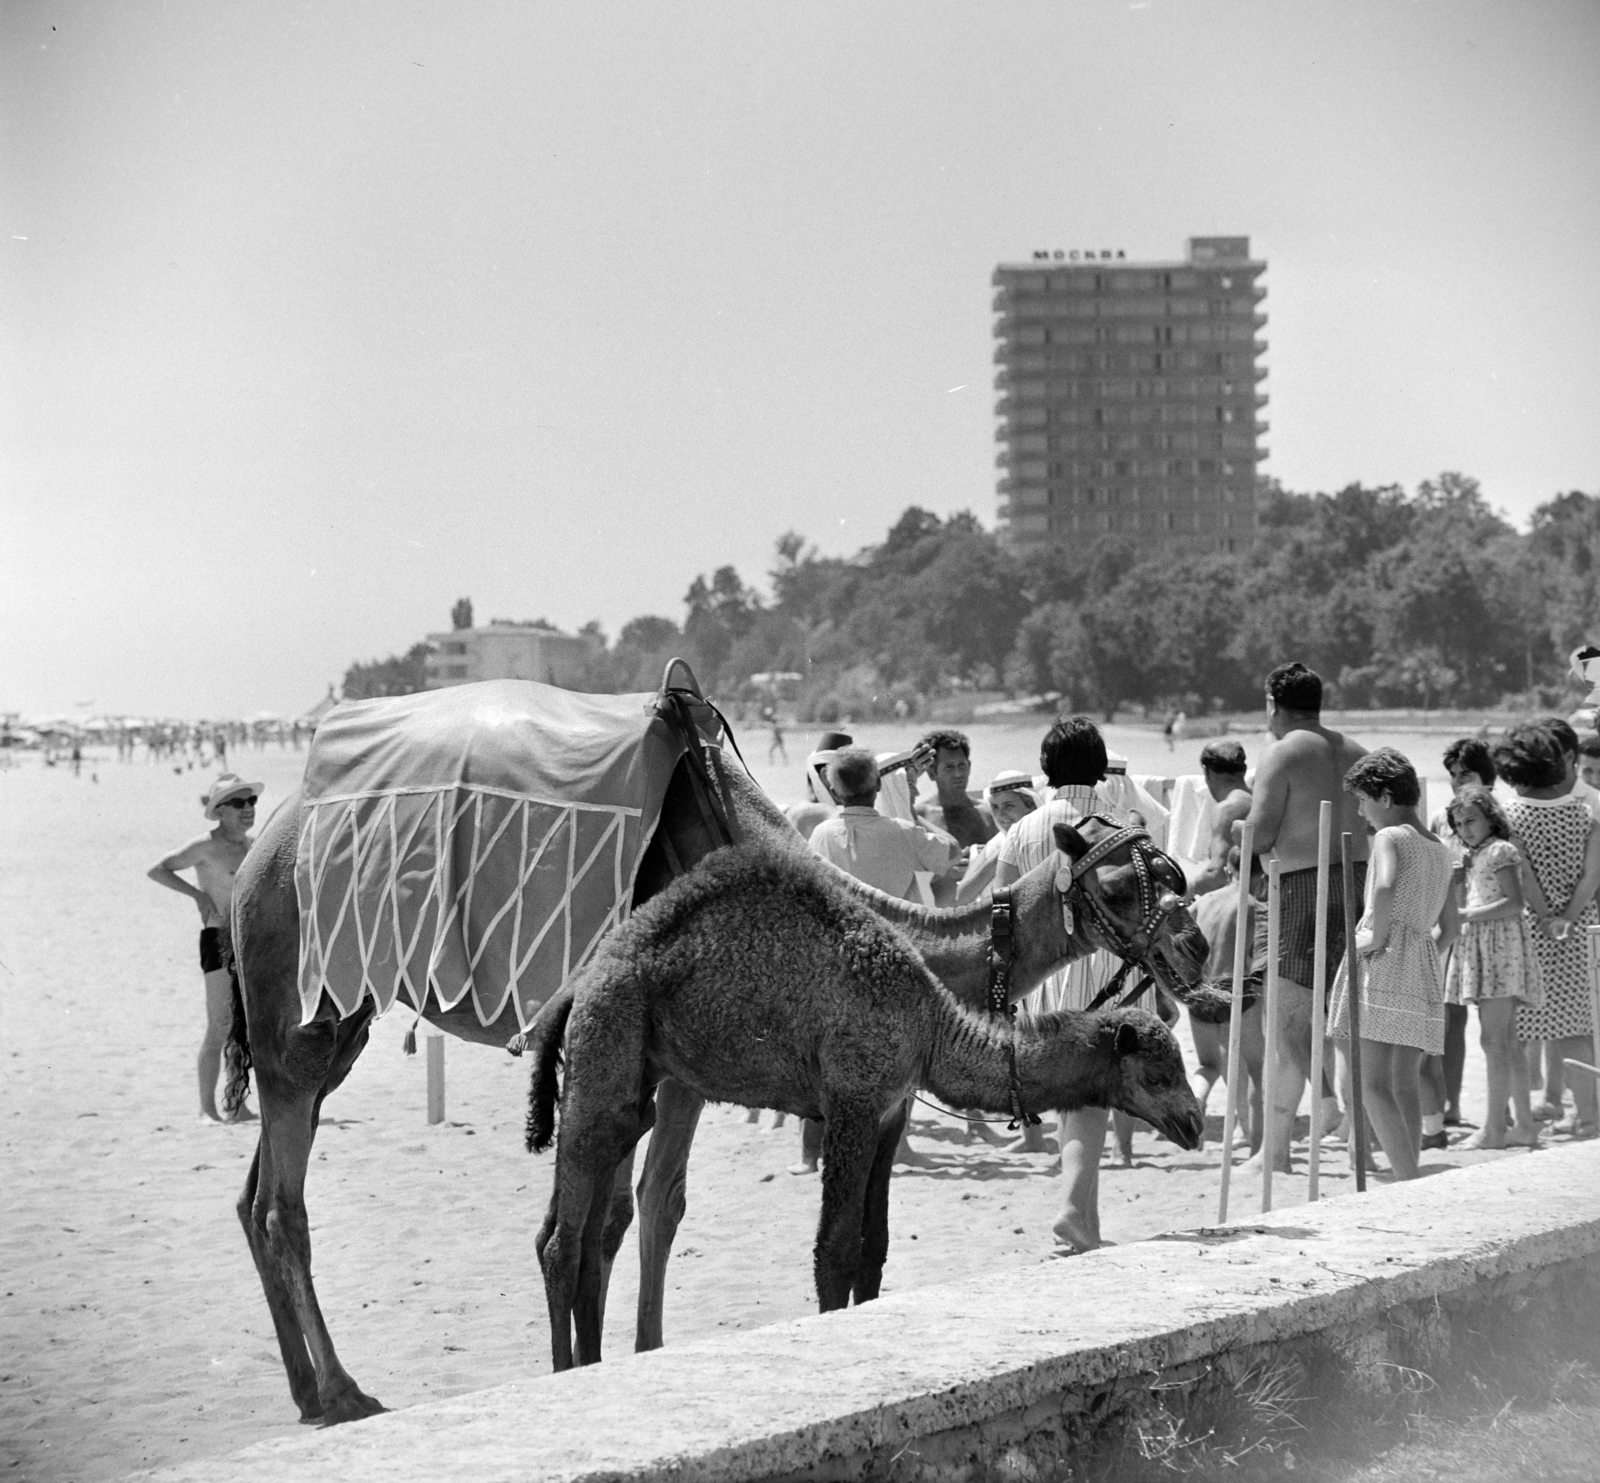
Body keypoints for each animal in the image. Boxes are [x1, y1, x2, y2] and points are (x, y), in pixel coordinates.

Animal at [524, 831, 1203, 1369]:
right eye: (1159, 1074)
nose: (1194, 1122)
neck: (930, 1018)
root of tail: (581, 982)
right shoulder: (851, 1102)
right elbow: (835, 1248)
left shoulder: (886, 1112)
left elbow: (872, 1249)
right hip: (607, 1049)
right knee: (564, 1243)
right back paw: (563, 1369)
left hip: (631, 1082)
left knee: (591, 1232)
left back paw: (592, 1362)